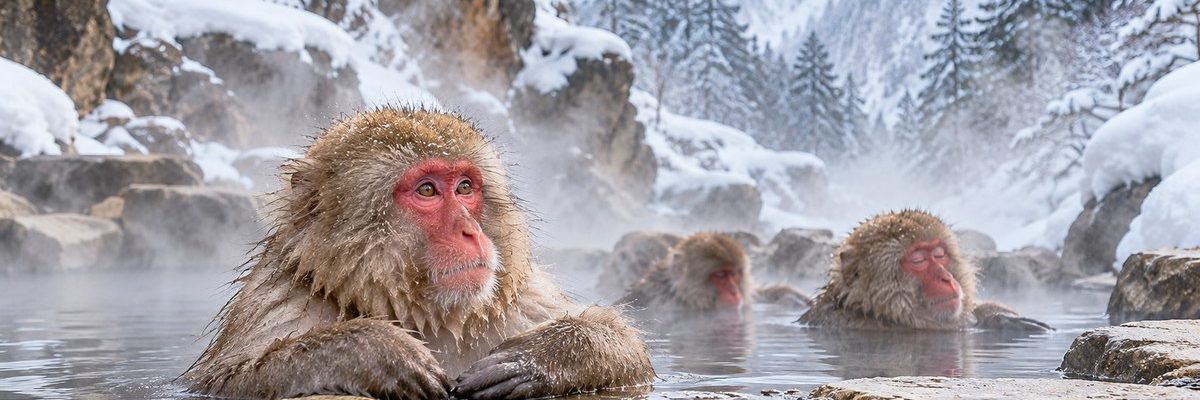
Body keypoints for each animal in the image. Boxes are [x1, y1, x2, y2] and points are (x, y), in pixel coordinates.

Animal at [181, 108, 654, 400]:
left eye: (464, 187)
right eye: (427, 190)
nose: (470, 231)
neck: (429, 315)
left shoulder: (516, 300)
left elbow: (631, 352)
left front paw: (533, 360)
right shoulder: (279, 299)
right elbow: (230, 378)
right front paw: (376, 351)